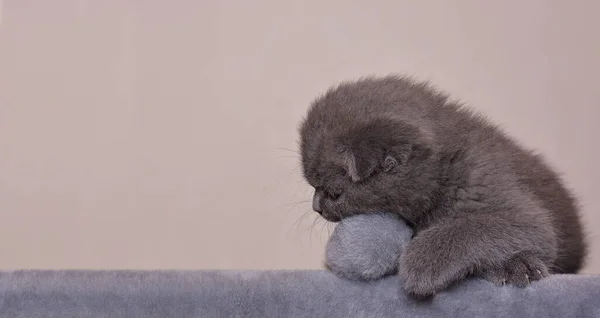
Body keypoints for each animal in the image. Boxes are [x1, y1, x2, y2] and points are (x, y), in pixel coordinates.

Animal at [300, 75, 584, 298]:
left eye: (334, 193)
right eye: (313, 187)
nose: (316, 207)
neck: (445, 174)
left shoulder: (516, 207)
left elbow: (469, 226)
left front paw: (421, 264)